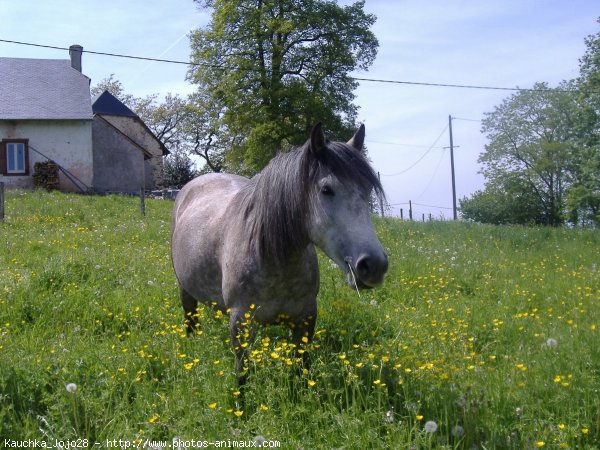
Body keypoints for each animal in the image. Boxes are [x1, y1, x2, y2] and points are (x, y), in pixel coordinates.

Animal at [171, 123, 392, 386]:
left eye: (367, 190)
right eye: (326, 189)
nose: (374, 265)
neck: (273, 260)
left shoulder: (305, 319)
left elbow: (302, 368)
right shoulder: (240, 323)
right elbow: (242, 376)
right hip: (185, 290)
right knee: (190, 318)